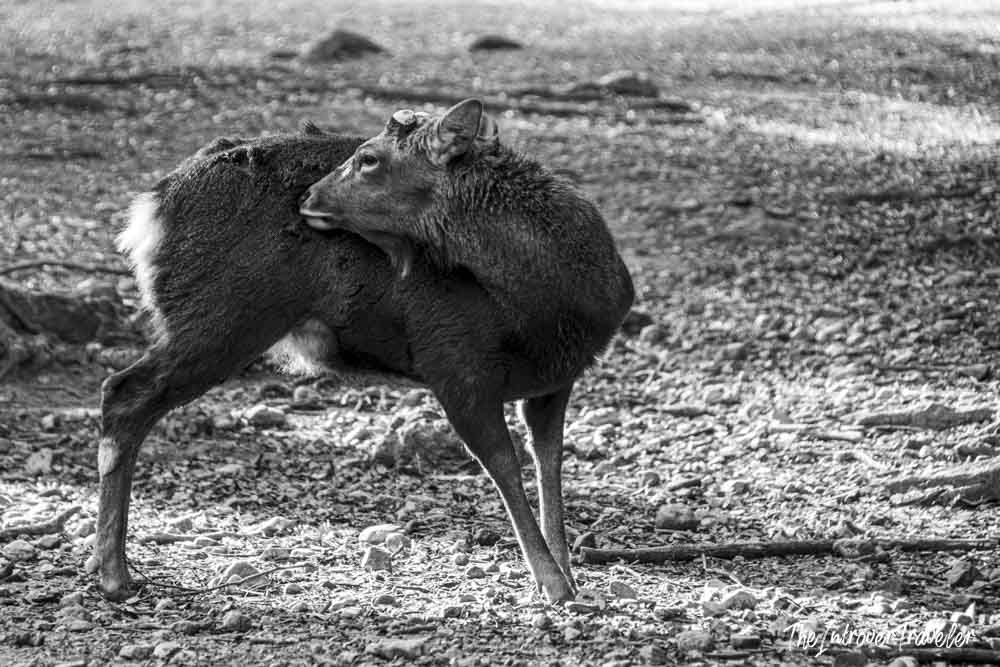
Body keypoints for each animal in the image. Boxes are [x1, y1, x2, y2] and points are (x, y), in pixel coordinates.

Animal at [92, 99, 634, 604]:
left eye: (369, 158)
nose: (307, 196)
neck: (551, 306)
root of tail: (147, 211)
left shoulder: (556, 378)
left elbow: (550, 463)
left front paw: (568, 573)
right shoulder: (452, 361)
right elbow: (503, 465)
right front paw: (552, 583)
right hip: (222, 314)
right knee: (123, 392)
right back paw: (114, 574)